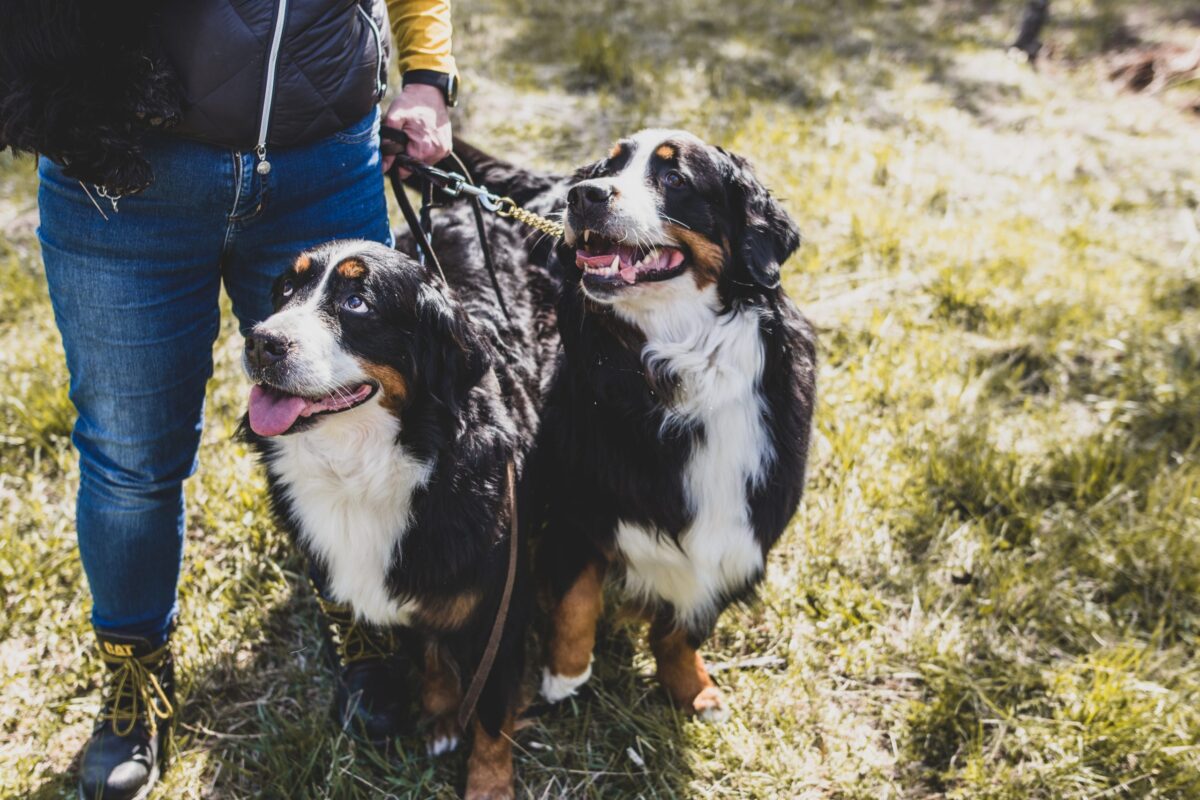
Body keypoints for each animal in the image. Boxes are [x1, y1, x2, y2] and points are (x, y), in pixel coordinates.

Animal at [243, 221, 561, 796]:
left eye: (356, 302)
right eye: (285, 291)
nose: (261, 342)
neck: (365, 465)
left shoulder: (498, 605)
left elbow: (491, 711)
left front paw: (487, 783)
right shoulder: (402, 584)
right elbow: (429, 656)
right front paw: (442, 718)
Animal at [530, 130, 820, 719]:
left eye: (674, 178)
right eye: (607, 167)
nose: (583, 195)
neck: (678, 366)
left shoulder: (744, 525)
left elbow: (685, 629)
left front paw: (692, 688)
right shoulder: (579, 500)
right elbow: (577, 598)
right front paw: (564, 673)